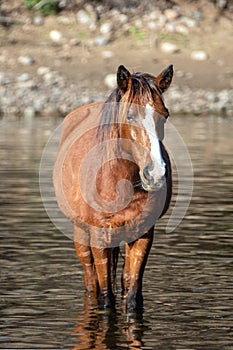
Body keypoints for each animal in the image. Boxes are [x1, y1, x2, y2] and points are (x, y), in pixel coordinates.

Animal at [53, 64, 173, 310]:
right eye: (130, 115)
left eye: (164, 116)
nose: (155, 174)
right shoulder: (99, 236)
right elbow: (106, 296)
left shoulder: (144, 233)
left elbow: (133, 294)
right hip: (81, 233)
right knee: (91, 279)